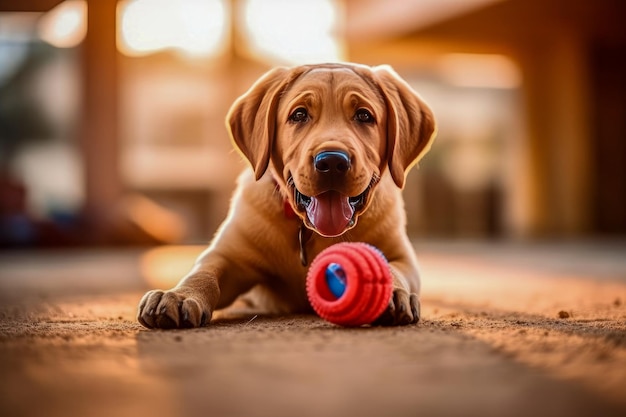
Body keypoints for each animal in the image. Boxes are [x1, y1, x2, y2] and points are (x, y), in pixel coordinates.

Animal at [138, 62, 434, 328]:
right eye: (299, 115)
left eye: (364, 116)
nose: (332, 162)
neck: (311, 232)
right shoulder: (228, 256)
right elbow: (204, 272)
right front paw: (178, 295)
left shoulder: (402, 255)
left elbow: (394, 268)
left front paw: (391, 292)